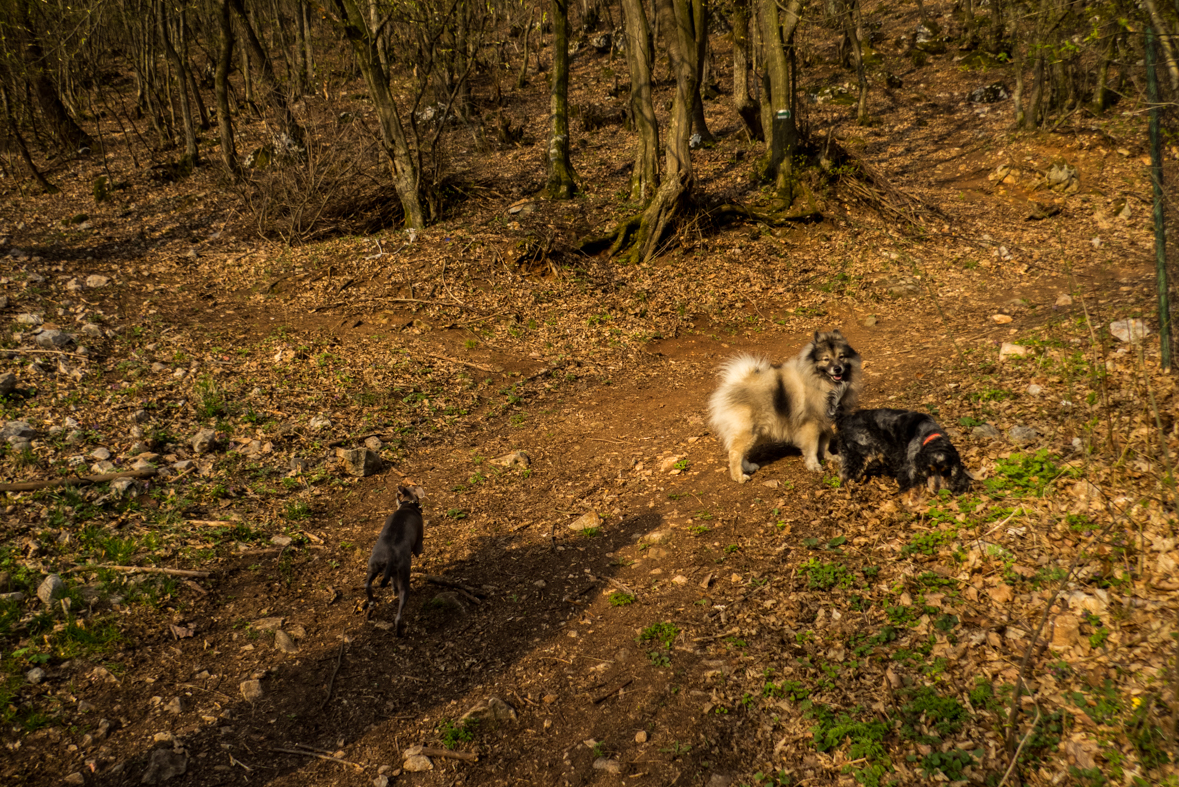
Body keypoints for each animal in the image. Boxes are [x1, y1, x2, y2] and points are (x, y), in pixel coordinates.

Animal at [367, 483, 429, 636]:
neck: (408, 505)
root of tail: (389, 556)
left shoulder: (393, 574)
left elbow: (392, 582)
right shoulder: (418, 546)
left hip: (373, 565)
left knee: (367, 585)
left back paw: (371, 603)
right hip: (404, 579)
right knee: (398, 618)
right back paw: (400, 633)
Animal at [702, 329, 863, 483]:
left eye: (841, 357)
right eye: (826, 359)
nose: (837, 368)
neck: (822, 382)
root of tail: (731, 385)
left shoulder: (825, 423)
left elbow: (825, 444)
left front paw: (830, 457)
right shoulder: (811, 425)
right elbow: (812, 448)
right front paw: (814, 465)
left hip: (757, 432)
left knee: (739, 452)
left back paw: (748, 467)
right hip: (747, 431)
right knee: (734, 453)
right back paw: (739, 477)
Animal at [834, 409, 971, 494]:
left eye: (945, 471)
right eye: (930, 470)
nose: (937, 491)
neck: (930, 435)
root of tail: (846, 420)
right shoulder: (909, 466)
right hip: (859, 453)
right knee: (846, 473)